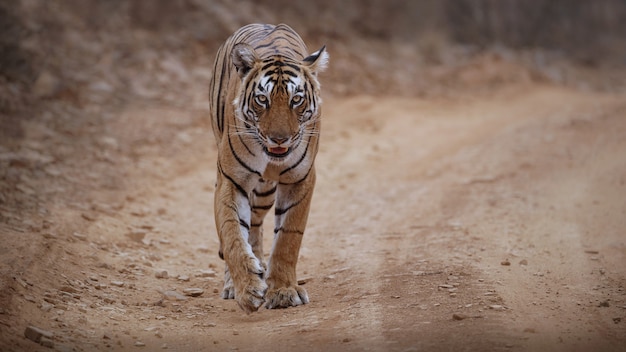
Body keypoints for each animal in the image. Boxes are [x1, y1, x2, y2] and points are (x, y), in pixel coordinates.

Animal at [207, 22, 330, 314]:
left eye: (296, 100)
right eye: (262, 99)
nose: (279, 139)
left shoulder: (301, 179)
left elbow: (288, 237)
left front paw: (283, 291)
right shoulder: (231, 179)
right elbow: (231, 232)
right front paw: (248, 289)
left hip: (264, 192)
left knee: (255, 223)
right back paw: (234, 283)